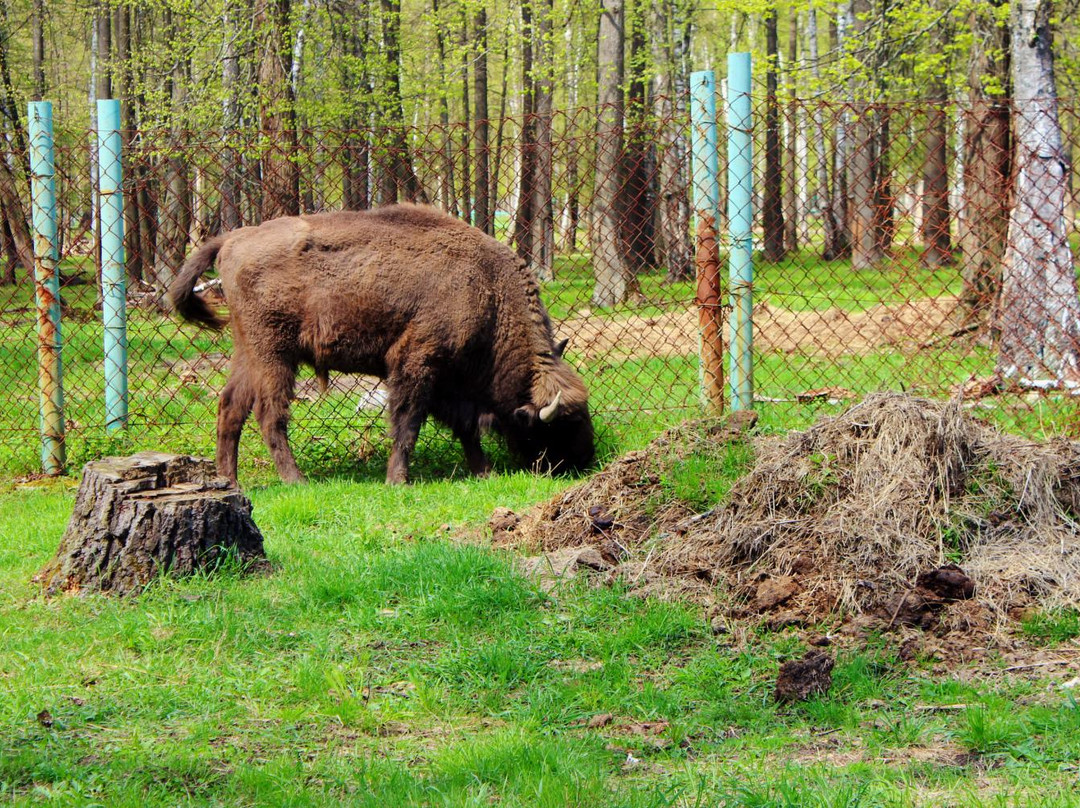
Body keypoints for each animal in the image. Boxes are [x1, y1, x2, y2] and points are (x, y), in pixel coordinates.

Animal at [168, 206, 596, 486]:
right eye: (565, 424)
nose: (585, 461)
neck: (488, 290)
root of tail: (232, 238)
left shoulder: (448, 383)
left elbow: (464, 429)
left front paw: (483, 472)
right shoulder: (416, 364)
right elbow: (407, 424)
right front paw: (398, 480)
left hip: (248, 352)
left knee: (230, 408)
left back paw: (229, 481)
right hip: (275, 355)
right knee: (270, 415)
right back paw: (296, 480)